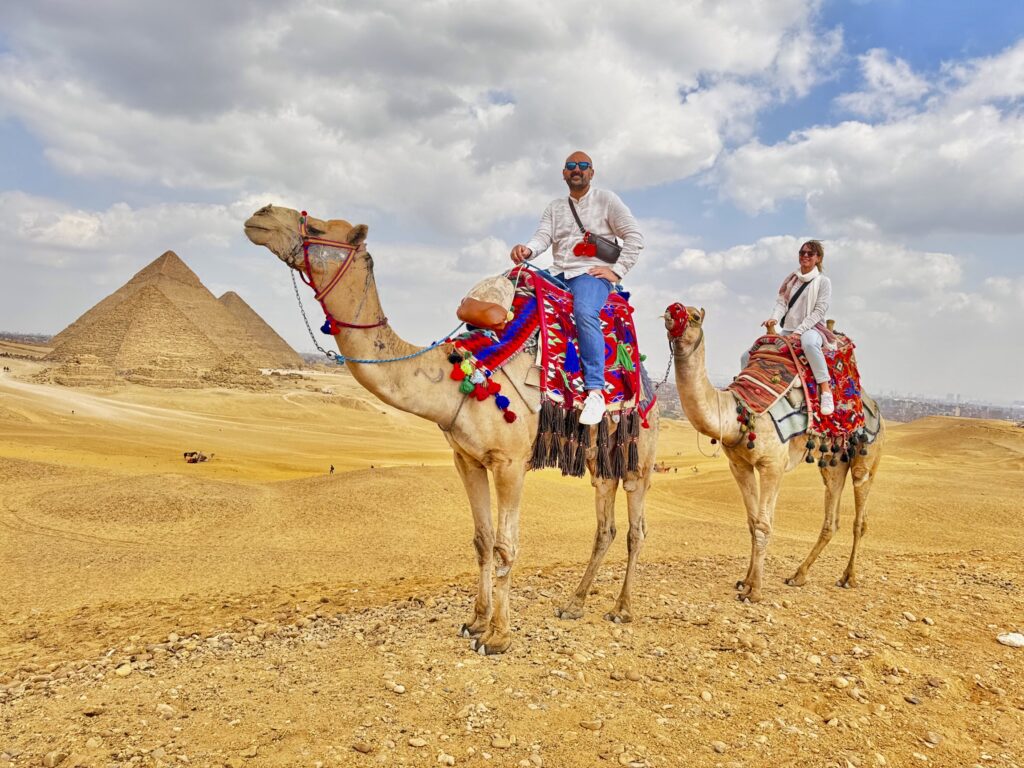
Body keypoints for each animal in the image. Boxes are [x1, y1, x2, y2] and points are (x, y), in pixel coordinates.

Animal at [243, 204, 659, 655]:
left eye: (318, 228)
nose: (260, 214)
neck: (457, 375)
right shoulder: (468, 459)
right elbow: (482, 539)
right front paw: (475, 622)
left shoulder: (511, 462)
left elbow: (506, 545)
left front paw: (498, 636)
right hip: (601, 455)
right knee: (605, 524)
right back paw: (574, 604)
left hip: (640, 454)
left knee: (636, 529)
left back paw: (621, 609)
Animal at [667, 303, 884, 606]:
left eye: (695, 317)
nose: (671, 311)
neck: (737, 412)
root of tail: (873, 404)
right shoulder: (739, 465)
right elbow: (752, 522)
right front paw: (744, 581)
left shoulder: (773, 465)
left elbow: (764, 525)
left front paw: (754, 591)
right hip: (833, 462)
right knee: (831, 516)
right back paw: (798, 575)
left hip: (867, 452)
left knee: (859, 517)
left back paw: (848, 577)